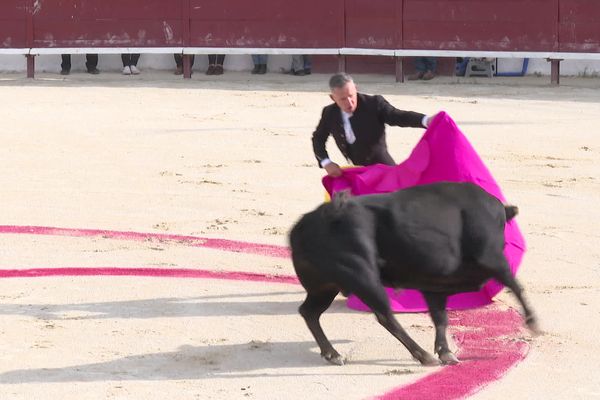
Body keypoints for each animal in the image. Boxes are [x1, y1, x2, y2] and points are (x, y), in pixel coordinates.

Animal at [288, 181, 536, 366]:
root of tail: (303, 228)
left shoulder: (434, 286)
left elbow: (440, 318)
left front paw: (446, 352)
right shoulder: (493, 259)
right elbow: (515, 285)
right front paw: (534, 322)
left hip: (324, 286)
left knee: (309, 312)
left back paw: (332, 353)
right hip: (363, 276)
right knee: (385, 316)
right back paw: (423, 356)